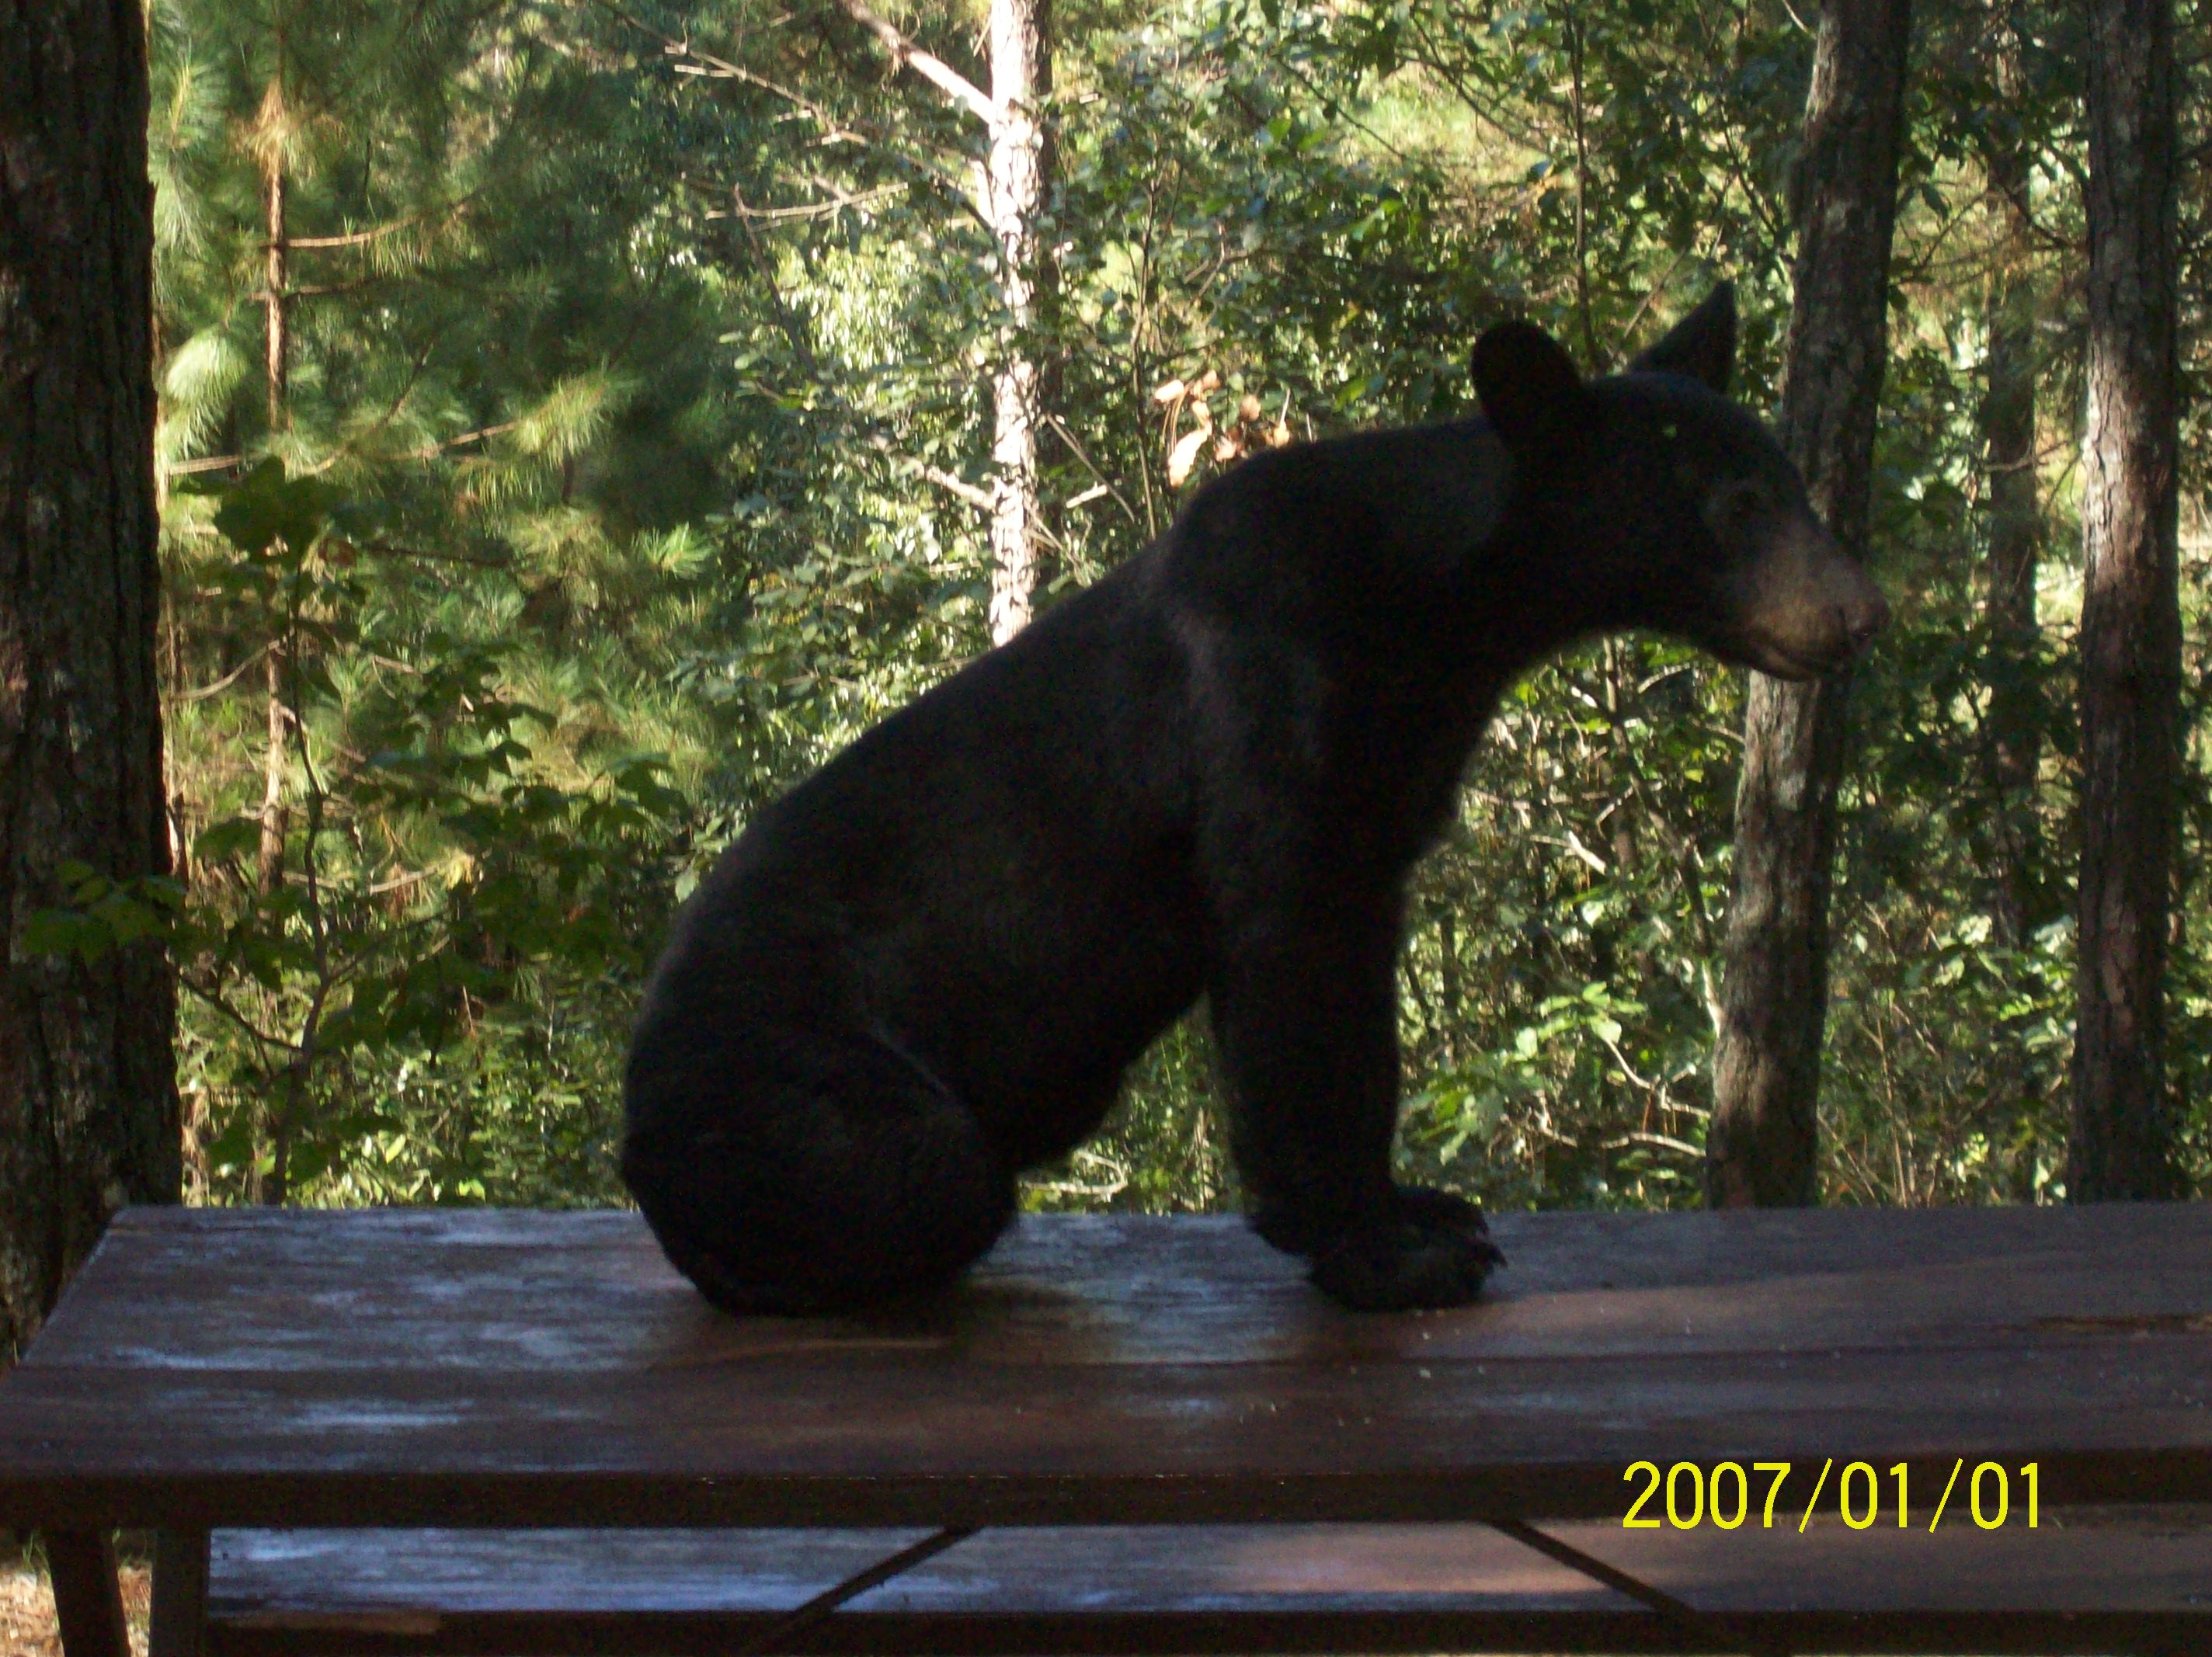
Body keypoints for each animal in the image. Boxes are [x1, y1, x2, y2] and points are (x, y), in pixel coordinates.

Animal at [621, 285, 1888, 1315]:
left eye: (1791, 486)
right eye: (1738, 506)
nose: (1862, 610)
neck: (1443, 621)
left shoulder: (1396, 775)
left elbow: (1359, 985)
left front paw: (1419, 1202)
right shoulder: (1271, 685)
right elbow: (1293, 967)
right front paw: (1381, 1254)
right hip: (783, 1069)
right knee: (926, 1167)